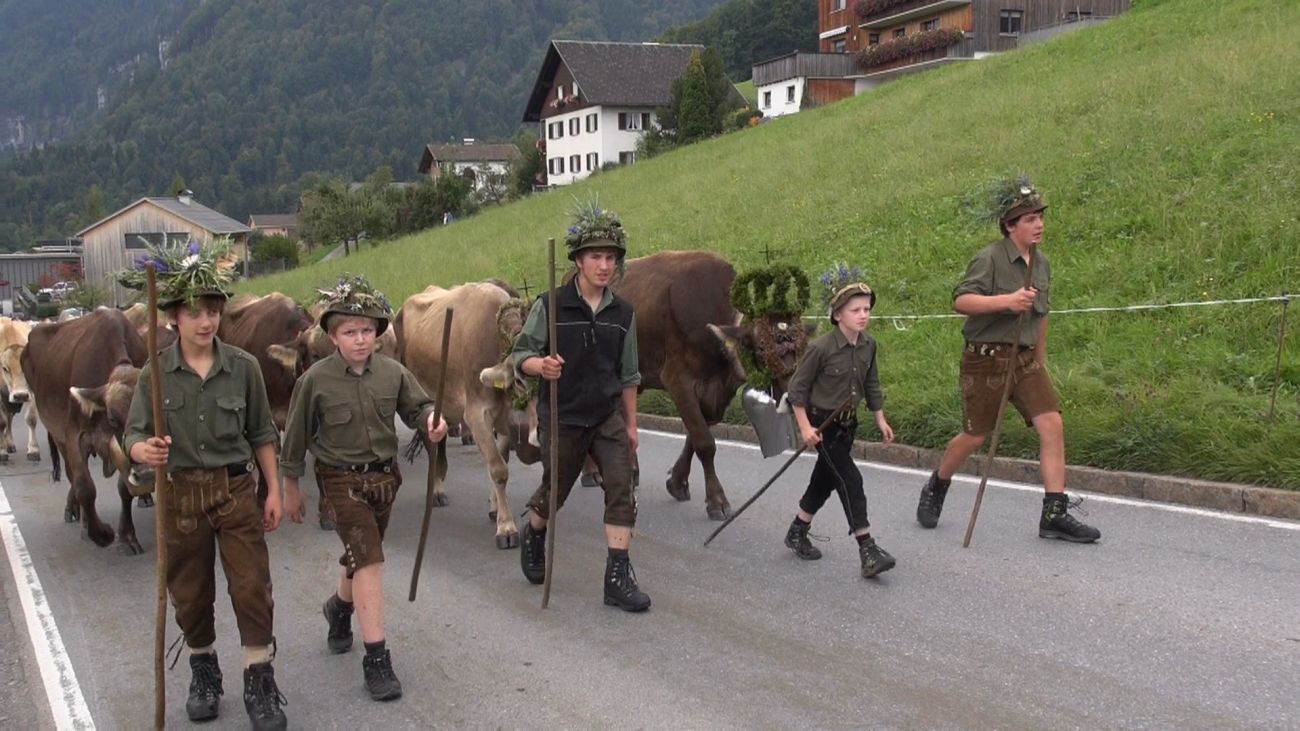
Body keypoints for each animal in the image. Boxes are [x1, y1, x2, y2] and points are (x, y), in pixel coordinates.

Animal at [0, 317, 41, 462]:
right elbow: (1, 422)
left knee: (9, 418)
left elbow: (31, 419)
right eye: (4, 368)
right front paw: (1, 451)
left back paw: (10, 443)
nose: (20, 396)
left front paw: (33, 449)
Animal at [22, 309, 150, 553]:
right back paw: (76, 513)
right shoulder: (74, 434)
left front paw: (127, 536)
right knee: (71, 474)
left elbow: (125, 488)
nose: (147, 473)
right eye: (113, 418)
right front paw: (101, 533)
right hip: (58, 435)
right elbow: (84, 486)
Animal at [394, 281, 540, 549]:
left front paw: (495, 508)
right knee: (433, 448)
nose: (539, 434)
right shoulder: (476, 414)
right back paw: (437, 490)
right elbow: (498, 469)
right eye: (519, 381)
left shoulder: (503, 420)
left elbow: (501, 460)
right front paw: (506, 527)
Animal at [612, 251, 811, 521]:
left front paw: (677, 482)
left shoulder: (718, 392)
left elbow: (695, 435)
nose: (795, 395)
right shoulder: (677, 380)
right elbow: (705, 442)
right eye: (761, 348)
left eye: (802, 346)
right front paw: (717, 501)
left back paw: (631, 471)